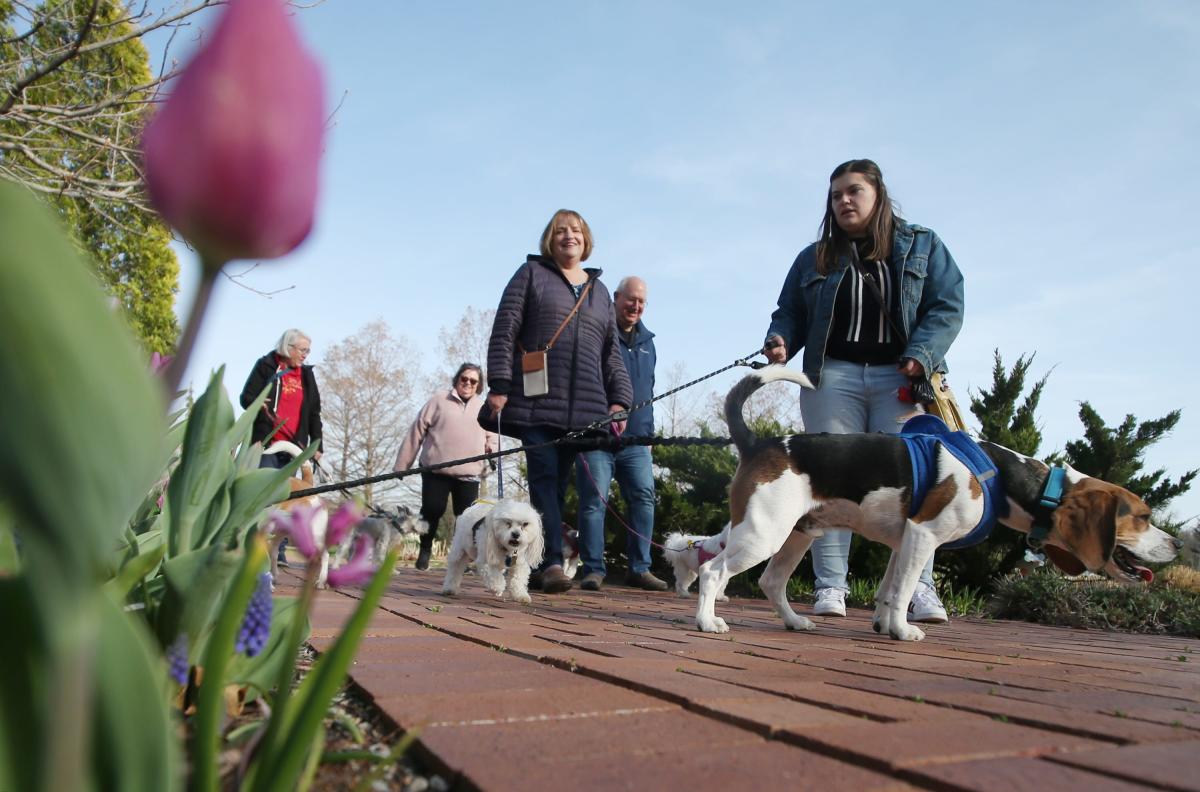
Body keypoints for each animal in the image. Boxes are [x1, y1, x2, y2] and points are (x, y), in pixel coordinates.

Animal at [700, 367, 1176, 638]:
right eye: (1143, 517)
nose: (1176, 544)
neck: (1001, 477)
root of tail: (758, 442)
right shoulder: (923, 536)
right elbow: (905, 590)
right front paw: (903, 631)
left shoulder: (903, 542)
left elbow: (891, 590)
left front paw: (885, 625)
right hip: (764, 533)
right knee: (712, 572)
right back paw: (708, 622)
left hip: (797, 535)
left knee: (770, 582)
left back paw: (794, 622)